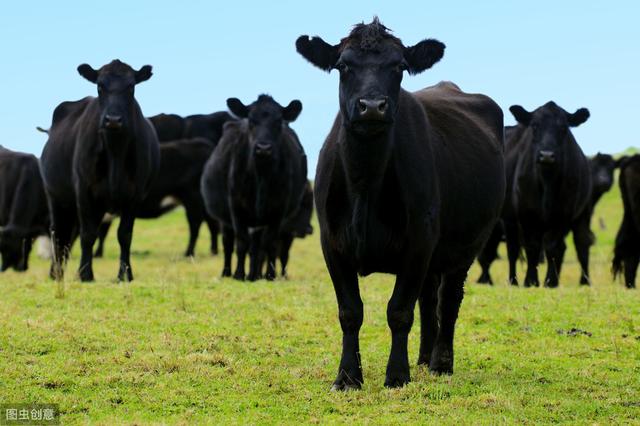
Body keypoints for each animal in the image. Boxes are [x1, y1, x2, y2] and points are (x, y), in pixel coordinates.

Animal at [40, 58, 160, 282]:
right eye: (99, 86)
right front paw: (85, 274)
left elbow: (125, 235)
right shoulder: (84, 191)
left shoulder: (134, 195)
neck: (115, 151)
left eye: (131, 86)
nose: (113, 119)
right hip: (57, 196)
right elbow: (88, 235)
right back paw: (56, 273)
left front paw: (125, 274)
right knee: (59, 232)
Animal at [201, 95, 308, 282]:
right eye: (251, 120)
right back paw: (227, 272)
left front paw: (270, 275)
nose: (263, 148)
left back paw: (254, 275)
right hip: (226, 220)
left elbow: (269, 243)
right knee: (228, 243)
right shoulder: (236, 208)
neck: (261, 177)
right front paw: (238, 274)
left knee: (257, 247)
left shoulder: (278, 210)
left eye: (279, 122)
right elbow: (241, 242)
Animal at [296, 18, 504, 388]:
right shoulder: (332, 243)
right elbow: (350, 312)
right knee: (428, 297)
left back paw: (439, 362)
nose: (372, 106)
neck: (365, 182)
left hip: (465, 245)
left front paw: (396, 375)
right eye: (343, 66)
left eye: (400, 67)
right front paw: (347, 377)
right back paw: (422, 357)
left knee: (448, 301)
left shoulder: (419, 241)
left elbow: (399, 311)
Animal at [502, 102, 592, 288]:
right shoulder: (526, 214)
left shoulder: (563, 215)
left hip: (583, 213)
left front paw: (550, 281)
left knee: (581, 244)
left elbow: (552, 246)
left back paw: (584, 281)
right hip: (509, 218)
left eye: (564, 128)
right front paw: (530, 280)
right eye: (535, 126)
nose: (547, 155)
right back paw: (513, 280)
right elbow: (532, 246)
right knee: (512, 249)